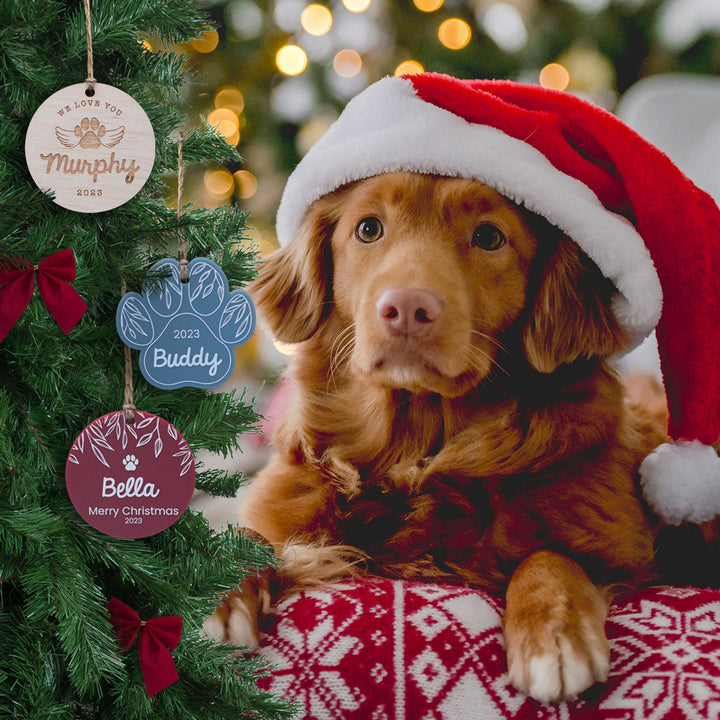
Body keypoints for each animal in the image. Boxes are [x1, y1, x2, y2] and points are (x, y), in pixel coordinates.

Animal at [208, 173, 668, 704]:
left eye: (489, 236)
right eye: (368, 228)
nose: (407, 308)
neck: (416, 445)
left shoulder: (622, 554)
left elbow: (549, 555)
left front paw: (555, 633)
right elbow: (242, 534)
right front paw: (214, 587)